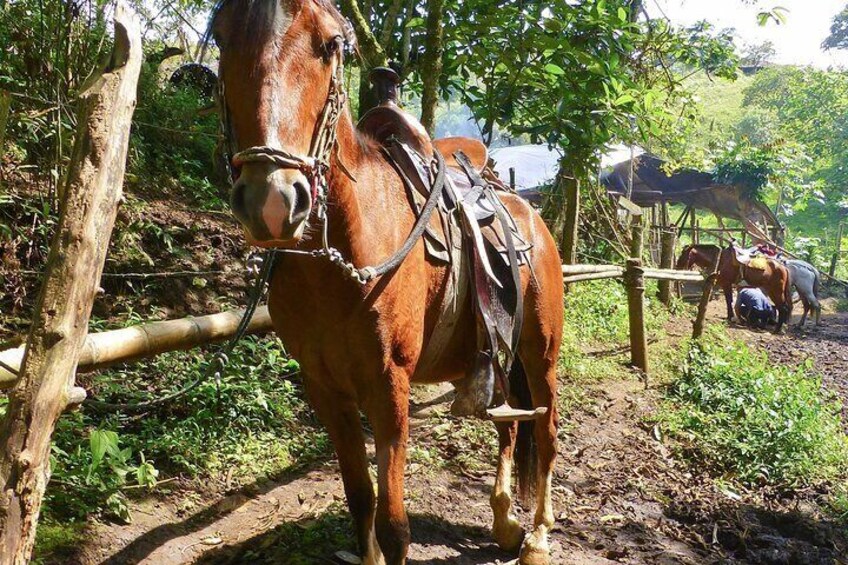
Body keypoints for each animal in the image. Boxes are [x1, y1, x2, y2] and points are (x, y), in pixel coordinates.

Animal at [208, 1, 564, 564]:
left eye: (331, 45)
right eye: (222, 37)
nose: (272, 201)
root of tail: (530, 213)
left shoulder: (389, 387)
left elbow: (394, 523)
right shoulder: (324, 388)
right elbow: (360, 498)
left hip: (541, 351)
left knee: (546, 432)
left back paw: (538, 536)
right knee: (508, 422)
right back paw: (506, 519)